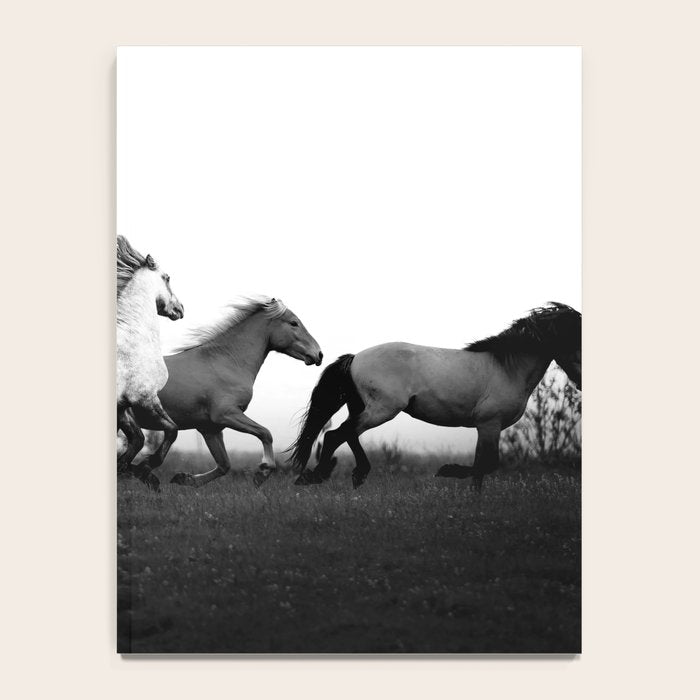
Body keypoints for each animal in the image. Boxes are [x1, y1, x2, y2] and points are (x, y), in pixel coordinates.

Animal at [116, 235, 184, 475]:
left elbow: (137, 439)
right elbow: (172, 429)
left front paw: (126, 468)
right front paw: (147, 465)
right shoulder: (145, 398)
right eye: (167, 278)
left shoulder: (122, 406)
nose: (181, 309)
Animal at [127, 296, 322, 490]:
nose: (319, 354)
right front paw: (263, 471)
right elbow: (265, 433)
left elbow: (224, 465)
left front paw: (184, 479)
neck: (225, 362)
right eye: (294, 323)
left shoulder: (210, 428)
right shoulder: (226, 414)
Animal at [291, 303, 581, 491]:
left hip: (365, 408)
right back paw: (321, 476)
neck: (507, 368)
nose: (580, 382)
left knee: (346, 435)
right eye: (575, 336)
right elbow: (486, 465)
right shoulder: (490, 424)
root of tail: (355, 358)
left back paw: (347, 475)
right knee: (337, 434)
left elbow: (481, 469)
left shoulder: (486, 427)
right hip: (381, 410)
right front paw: (447, 471)